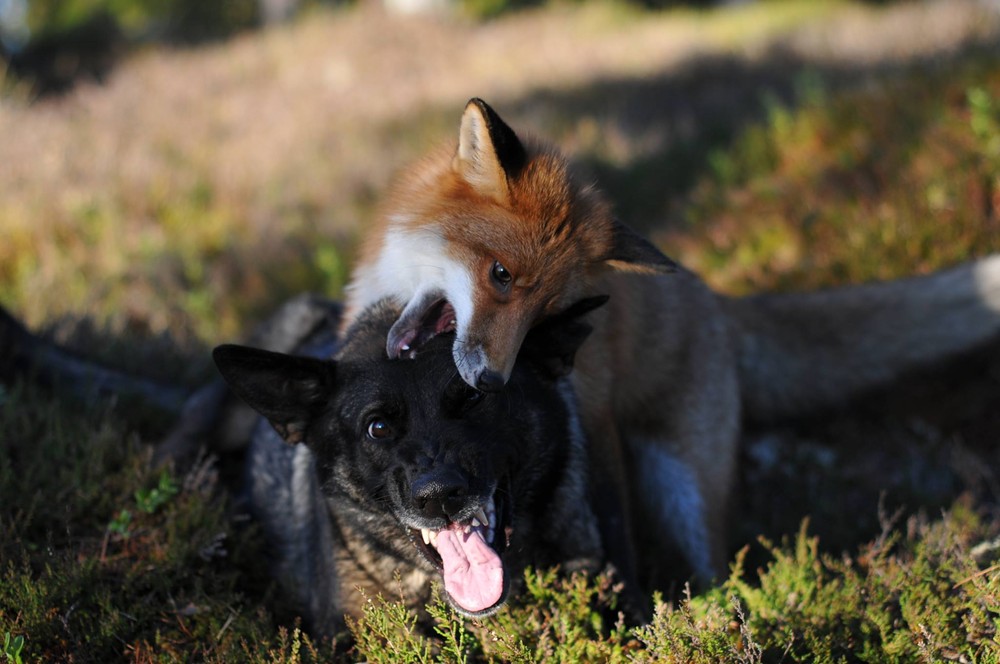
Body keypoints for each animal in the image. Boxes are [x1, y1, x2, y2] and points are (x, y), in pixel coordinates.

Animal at [341, 98, 1000, 593]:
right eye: (501, 275)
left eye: (545, 314)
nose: (493, 382)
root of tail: (716, 299)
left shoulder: (592, 419)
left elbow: (613, 540)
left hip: (684, 492)